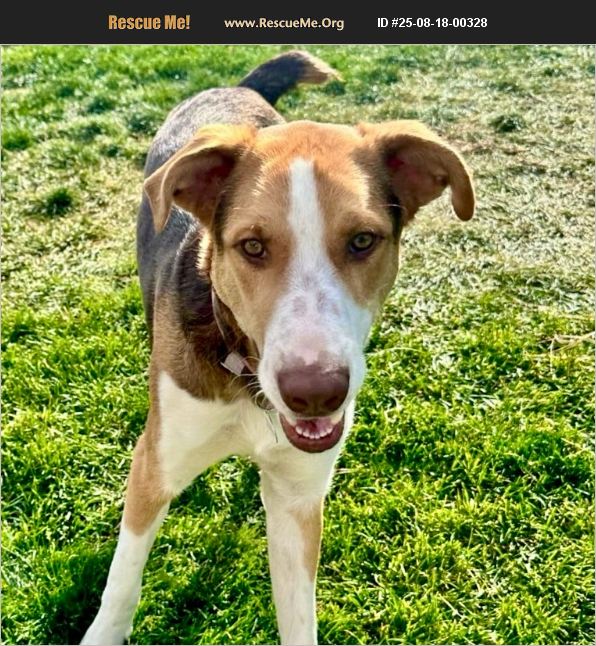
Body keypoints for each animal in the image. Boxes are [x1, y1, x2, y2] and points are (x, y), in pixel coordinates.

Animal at [81, 50, 475, 646]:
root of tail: (236, 87)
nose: (315, 394)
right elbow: (123, 578)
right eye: (252, 246)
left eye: (363, 240)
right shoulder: (154, 466)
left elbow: (298, 615)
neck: (245, 377)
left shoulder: (297, 499)